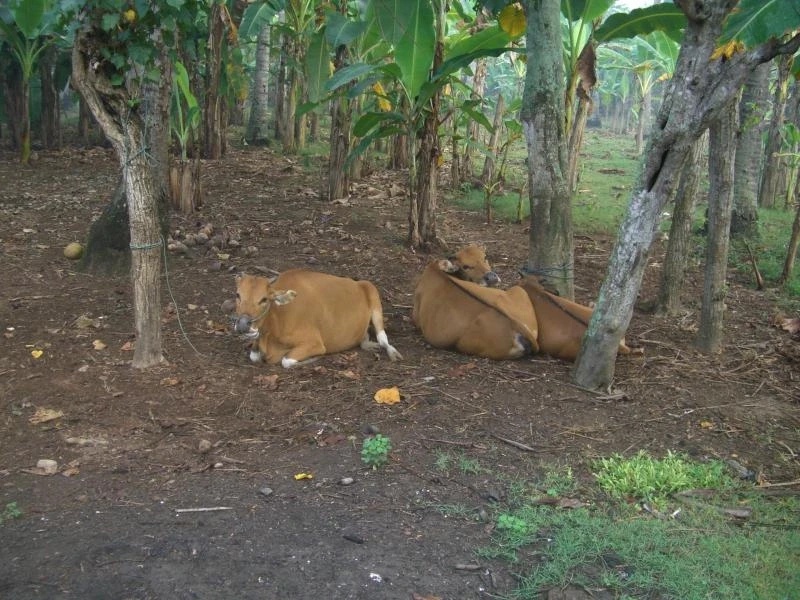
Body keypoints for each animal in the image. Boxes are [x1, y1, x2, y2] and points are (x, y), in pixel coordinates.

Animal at [233, 270, 402, 368]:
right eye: (238, 295)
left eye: (264, 299)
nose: (242, 325)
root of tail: (357, 283)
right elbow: (254, 356)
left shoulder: (315, 344)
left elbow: (286, 361)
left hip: (373, 292)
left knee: (383, 338)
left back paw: (392, 352)